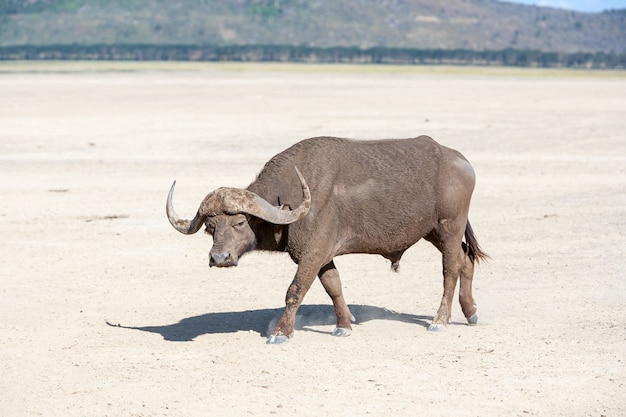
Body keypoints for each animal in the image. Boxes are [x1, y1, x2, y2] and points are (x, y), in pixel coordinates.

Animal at [167, 135, 488, 342]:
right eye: (210, 227)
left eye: (240, 222)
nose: (219, 258)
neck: (291, 203)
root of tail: (461, 161)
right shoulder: (322, 256)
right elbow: (334, 287)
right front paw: (343, 326)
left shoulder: (312, 254)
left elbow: (295, 290)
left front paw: (281, 332)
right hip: (432, 232)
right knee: (465, 260)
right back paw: (471, 313)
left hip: (449, 227)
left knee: (450, 269)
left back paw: (439, 321)